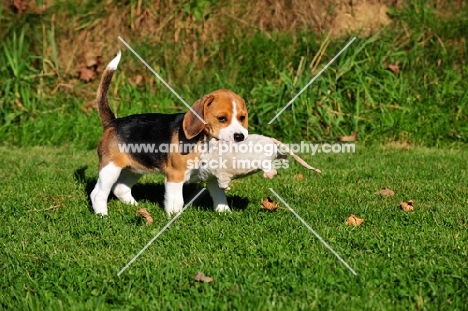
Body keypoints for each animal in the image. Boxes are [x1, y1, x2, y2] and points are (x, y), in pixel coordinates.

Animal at [89, 51, 247, 217]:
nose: (240, 136)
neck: (206, 143)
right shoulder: (175, 177)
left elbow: (220, 196)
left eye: (242, 118)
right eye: (222, 119)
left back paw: (136, 207)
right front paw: (174, 217)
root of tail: (113, 122)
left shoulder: (212, 176)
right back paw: (102, 215)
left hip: (135, 168)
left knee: (120, 188)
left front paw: (225, 213)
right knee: (98, 193)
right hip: (110, 168)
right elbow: (176, 201)